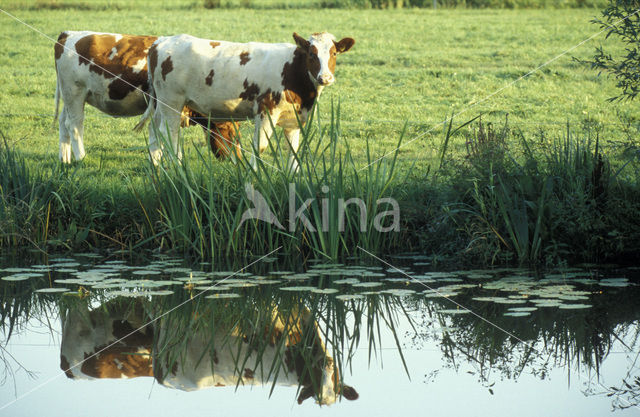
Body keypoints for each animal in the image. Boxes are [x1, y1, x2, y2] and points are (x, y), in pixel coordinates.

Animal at [53, 30, 240, 163]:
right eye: (229, 131)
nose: (236, 158)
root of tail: (70, 34)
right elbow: (162, 132)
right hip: (74, 93)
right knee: (74, 125)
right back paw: (81, 158)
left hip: (69, 96)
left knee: (63, 122)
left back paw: (64, 159)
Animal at [136, 32, 356, 169]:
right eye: (311, 54)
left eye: (334, 53)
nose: (325, 77)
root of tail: (161, 42)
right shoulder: (266, 110)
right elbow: (260, 146)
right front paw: (253, 175)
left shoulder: (294, 119)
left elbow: (293, 152)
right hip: (172, 101)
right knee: (169, 134)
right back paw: (178, 168)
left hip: (160, 104)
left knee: (154, 131)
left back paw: (156, 168)